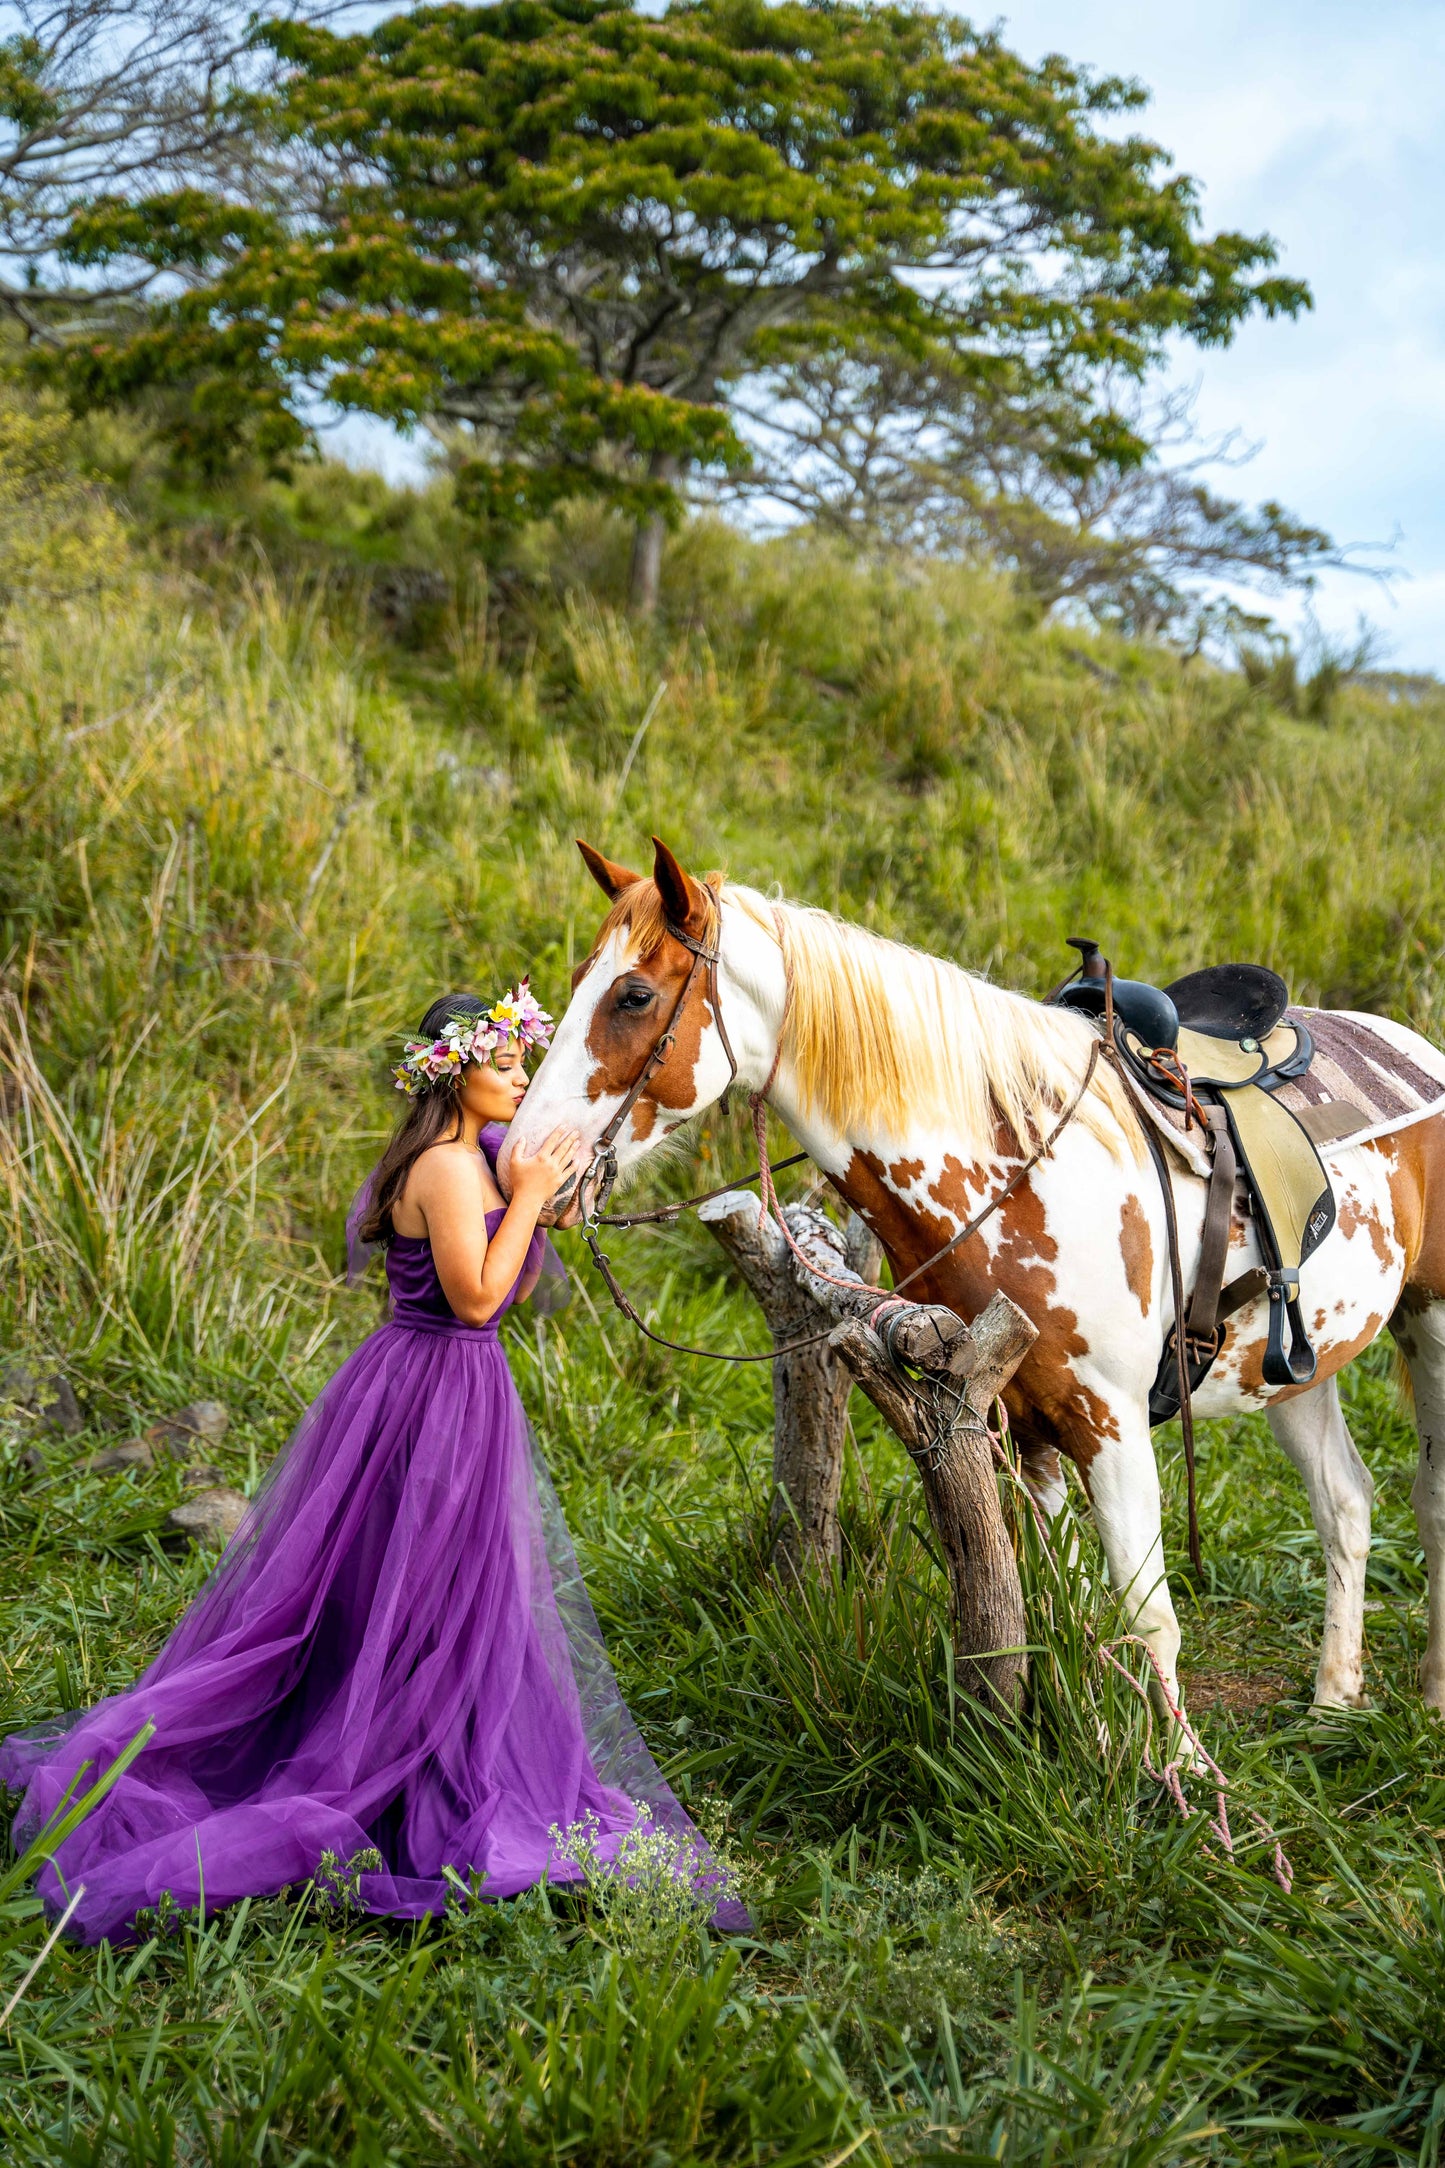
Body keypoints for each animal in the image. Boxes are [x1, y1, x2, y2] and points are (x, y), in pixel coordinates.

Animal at [502, 836, 1445, 1717]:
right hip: (1292, 1366)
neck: (1012, 1164)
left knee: (1428, 1500)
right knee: (1344, 1503)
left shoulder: (1110, 1426)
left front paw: (1172, 1774)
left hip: (1428, 1328)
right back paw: (1332, 1698)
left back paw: (1430, 1694)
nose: (522, 1164)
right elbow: (1068, 1610)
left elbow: (1148, 1620)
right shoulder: (1020, 1424)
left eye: (632, 996)